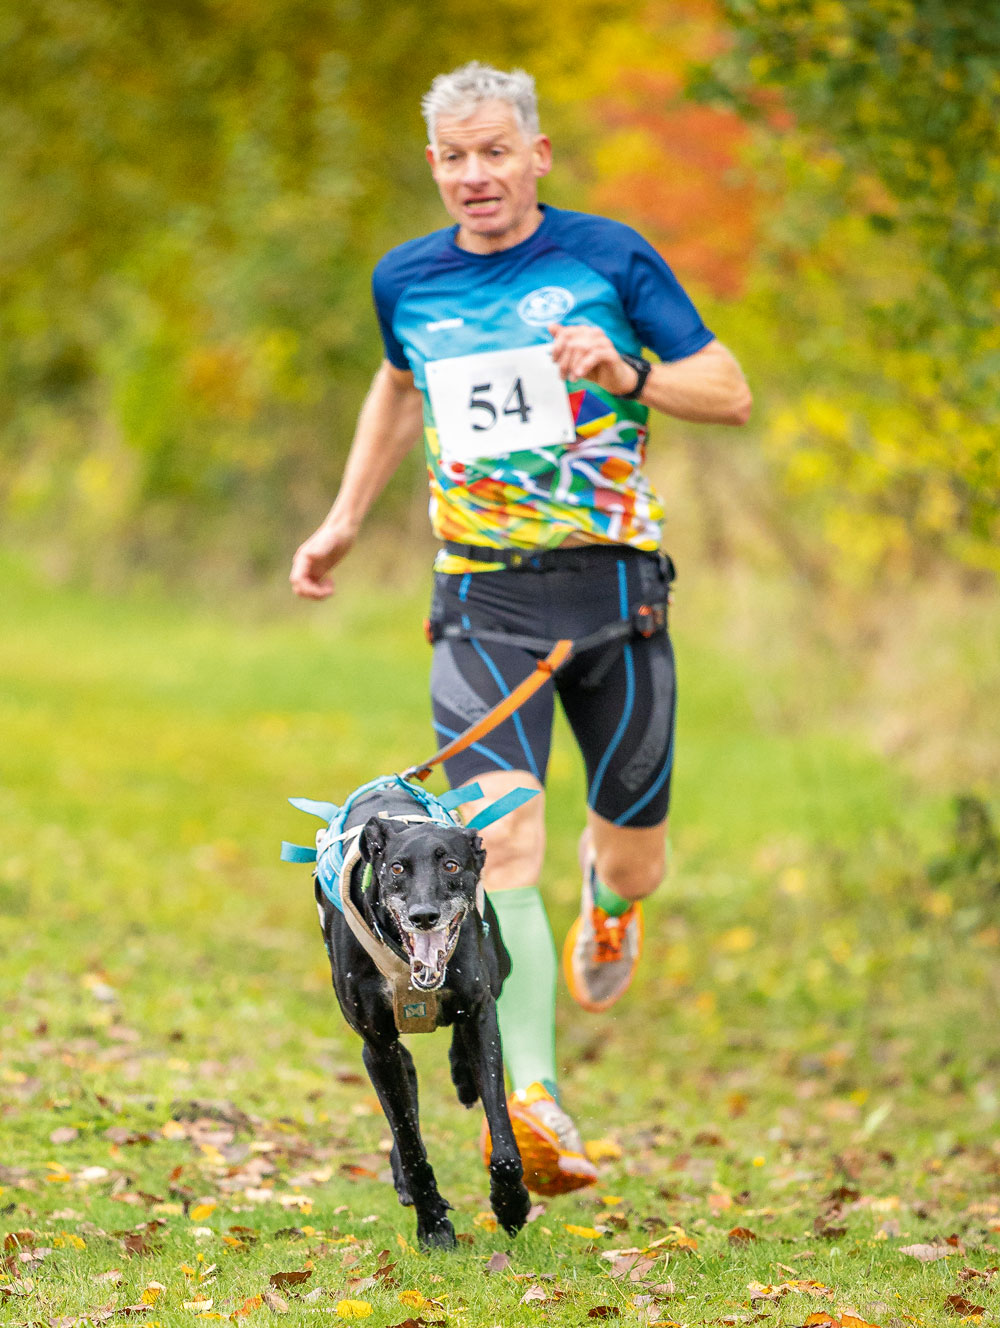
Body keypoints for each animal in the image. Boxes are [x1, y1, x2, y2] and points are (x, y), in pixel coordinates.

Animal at [311, 779, 531, 1249]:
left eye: (450, 865)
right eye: (396, 868)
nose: (424, 916)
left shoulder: (480, 1011)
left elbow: (502, 1139)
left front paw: (511, 1204)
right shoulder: (377, 1042)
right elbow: (410, 1142)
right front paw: (433, 1224)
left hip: (499, 965)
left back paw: (463, 1074)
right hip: (382, 1050)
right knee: (404, 1088)